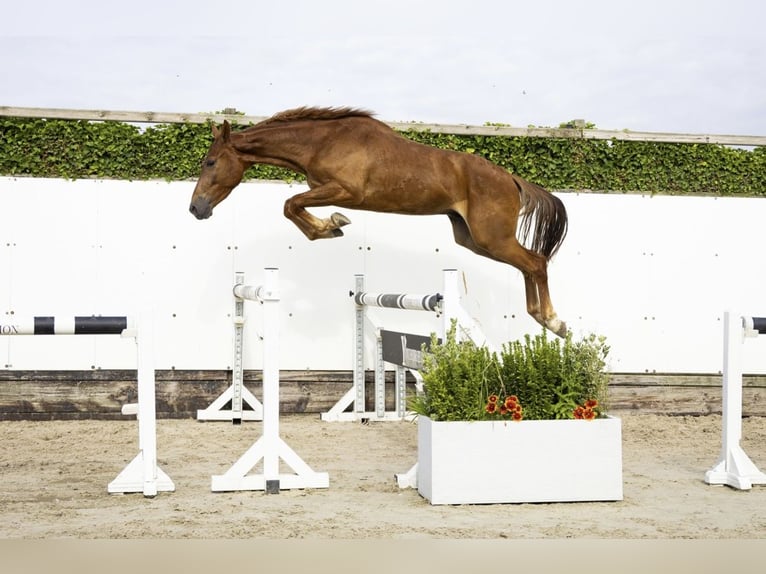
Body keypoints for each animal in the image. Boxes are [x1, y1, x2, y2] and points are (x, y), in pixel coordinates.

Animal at [189, 106, 569, 336]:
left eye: (210, 162)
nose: (196, 208)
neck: (321, 142)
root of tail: (512, 179)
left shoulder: (346, 191)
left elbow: (290, 204)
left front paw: (332, 225)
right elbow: (293, 206)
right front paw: (332, 226)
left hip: (492, 237)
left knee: (535, 262)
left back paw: (554, 321)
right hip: (473, 239)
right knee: (528, 264)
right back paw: (543, 318)